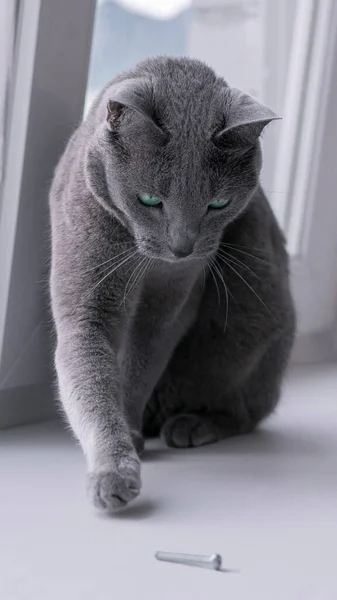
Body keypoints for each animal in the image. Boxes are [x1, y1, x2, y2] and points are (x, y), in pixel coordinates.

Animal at [49, 58, 294, 512]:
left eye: (218, 204)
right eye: (148, 200)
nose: (182, 248)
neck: (147, 263)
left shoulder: (174, 299)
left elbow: (142, 363)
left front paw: (128, 437)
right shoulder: (87, 296)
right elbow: (92, 377)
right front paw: (114, 467)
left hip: (250, 323)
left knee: (247, 412)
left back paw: (191, 425)